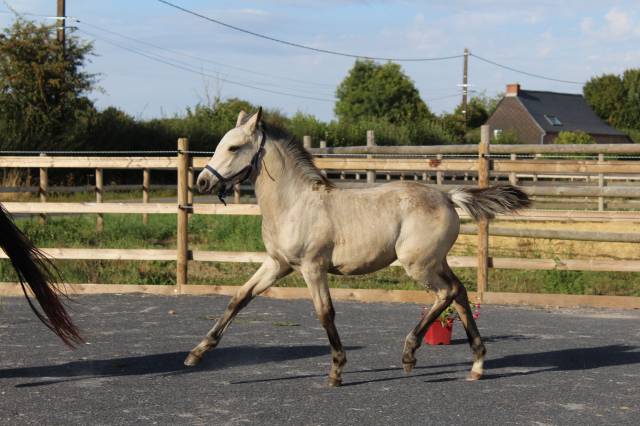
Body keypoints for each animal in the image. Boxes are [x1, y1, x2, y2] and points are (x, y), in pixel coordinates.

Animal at [187, 108, 530, 386]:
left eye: (233, 147)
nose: (202, 182)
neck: (295, 203)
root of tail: (447, 196)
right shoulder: (277, 264)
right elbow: (239, 298)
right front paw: (197, 353)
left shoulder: (312, 267)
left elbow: (325, 312)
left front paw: (337, 370)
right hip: (436, 262)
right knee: (459, 293)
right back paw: (477, 363)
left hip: (418, 265)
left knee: (446, 293)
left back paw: (410, 353)